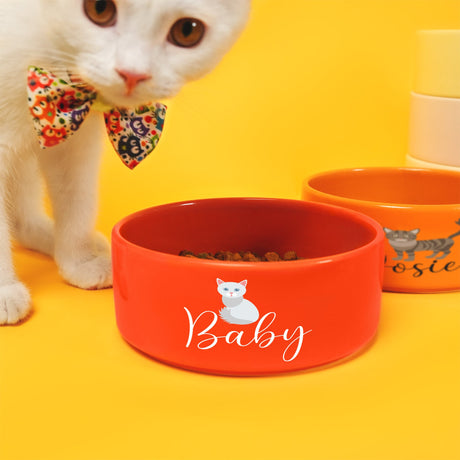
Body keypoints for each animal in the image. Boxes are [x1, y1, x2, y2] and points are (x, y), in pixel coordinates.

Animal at [0, 0, 250, 324]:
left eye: (187, 31)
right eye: (99, 9)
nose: (132, 73)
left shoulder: (74, 136)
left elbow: (78, 198)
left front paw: (80, 261)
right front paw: (4, 292)